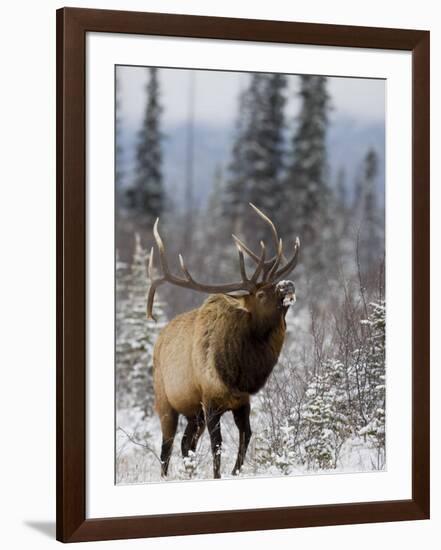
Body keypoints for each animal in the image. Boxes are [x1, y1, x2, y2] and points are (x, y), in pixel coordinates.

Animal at [148, 203, 300, 478]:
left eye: (274, 283)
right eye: (260, 294)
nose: (288, 284)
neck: (239, 373)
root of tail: (159, 339)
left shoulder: (242, 402)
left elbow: (246, 436)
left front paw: (235, 472)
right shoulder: (210, 402)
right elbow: (217, 445)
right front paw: (218, 475)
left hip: (193, 413)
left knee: (186, 444)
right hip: (165, 402)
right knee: (167, 448)